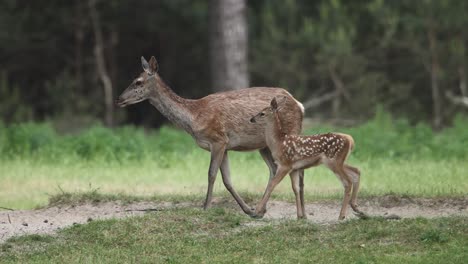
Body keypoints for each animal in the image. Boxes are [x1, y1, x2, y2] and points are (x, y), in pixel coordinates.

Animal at [116, 56, 304, 216]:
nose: (119, 99)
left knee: (297, 170)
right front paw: (248, 210)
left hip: (290, 135)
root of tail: (299, 105)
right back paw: (262, 209)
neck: (194, 117)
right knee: (274, 169)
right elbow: (227, 180)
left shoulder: (218, 140)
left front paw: (205, 207)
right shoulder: (225, 146)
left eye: (138, 82)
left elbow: (211, 174)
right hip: (264, 145)